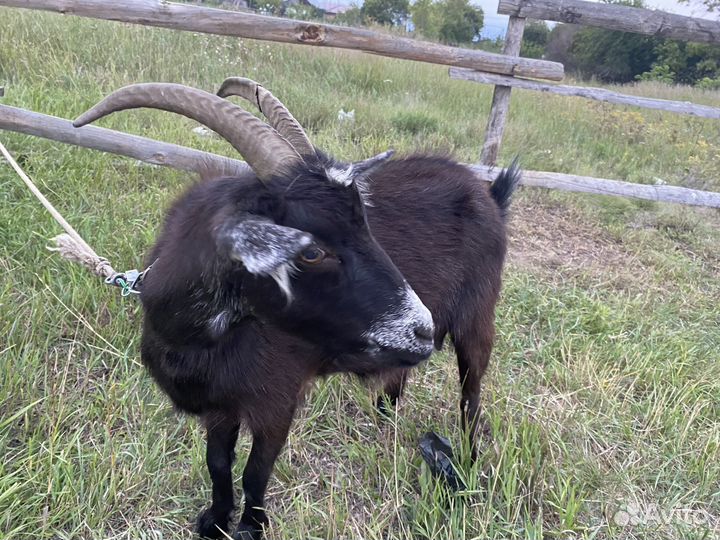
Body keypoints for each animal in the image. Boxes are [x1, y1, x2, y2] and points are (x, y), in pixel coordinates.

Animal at [73, 79, 520, 540]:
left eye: (364, 222)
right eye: (311, 251)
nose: (420, 328)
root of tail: (488, 194)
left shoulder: (277, 398)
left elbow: (256, 470)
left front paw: (250, 528)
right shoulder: (219, 404)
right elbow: (217, 464)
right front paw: (215, 519)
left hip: (478, 317)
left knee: (470, 394)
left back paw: (465, 461)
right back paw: (384, 416)